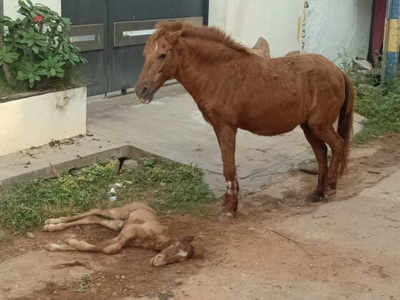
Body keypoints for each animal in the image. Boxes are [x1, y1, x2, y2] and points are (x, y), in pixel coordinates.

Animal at [43, 203, 195, 266]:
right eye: (174, 247)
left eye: (177, 260)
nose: (157, 262)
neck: (155, 237)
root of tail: (143, 203)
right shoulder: (128, 233)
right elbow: (106, 248)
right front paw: (69, 241)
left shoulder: (124, 237)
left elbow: (107, 248)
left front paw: (56, 246)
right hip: (118, 213)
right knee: (94, 210)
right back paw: (52, 223)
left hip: (117, 224)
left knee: (94, 218)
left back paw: (54, 226)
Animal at [136, 22, 354, 216]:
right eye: (145, 55)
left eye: (162, 55)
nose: (141, 91)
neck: (220, 73)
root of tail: (338, 71)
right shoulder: (219, 128)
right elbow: (227, 166)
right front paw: (228, 203)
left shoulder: (226, 128)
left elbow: (229, 167)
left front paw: (231, 208)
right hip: (308, 127)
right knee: (321, 153)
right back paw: (317, 193)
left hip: (320, 125)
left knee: (338, 146)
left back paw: (331, 189)